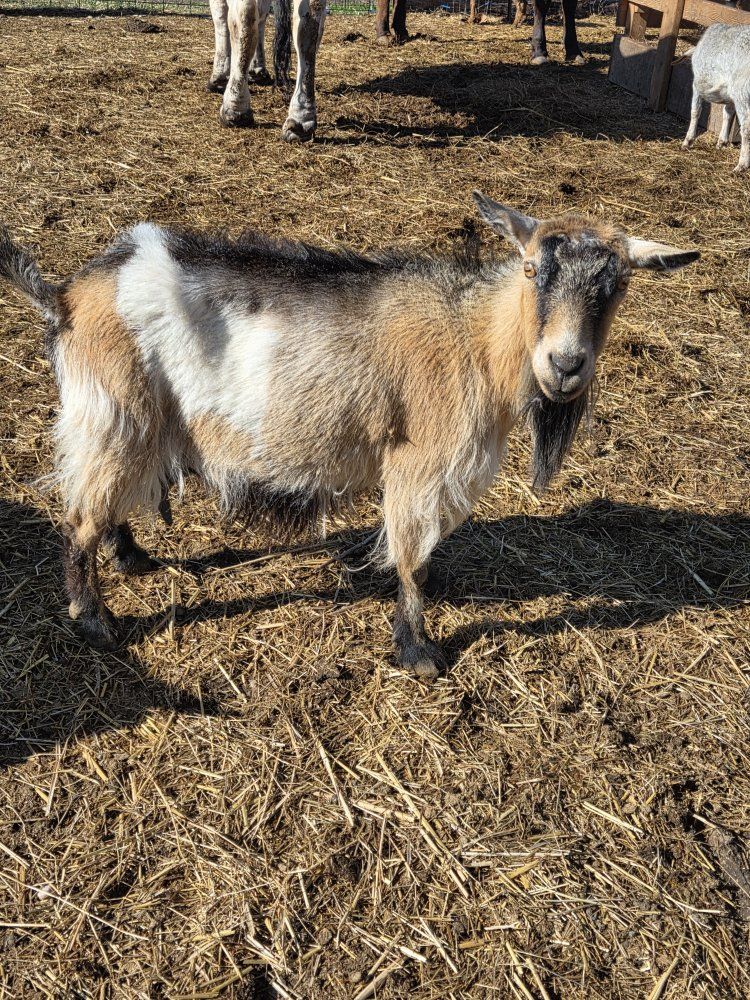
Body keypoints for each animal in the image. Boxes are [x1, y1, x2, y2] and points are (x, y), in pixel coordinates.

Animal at [0, 196, 698, 678]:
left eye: (618, 285)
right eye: (531, 270)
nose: (565, 364)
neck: (475, 337)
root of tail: (65, 297)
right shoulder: (419, 461)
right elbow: (414, 558)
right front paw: (417, 651)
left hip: (135, 422)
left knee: (111, 498)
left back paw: (132, 557)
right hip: (113, 411)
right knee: (79, 517)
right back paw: (95, 619)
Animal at [682, 24, 750, 172]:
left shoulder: (697, 85)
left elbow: (695, 111)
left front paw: (688, 141)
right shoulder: (729, 95)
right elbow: (727, 113)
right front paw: (722, 141)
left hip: (742, 93)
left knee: (746, 129)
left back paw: (741, 165)